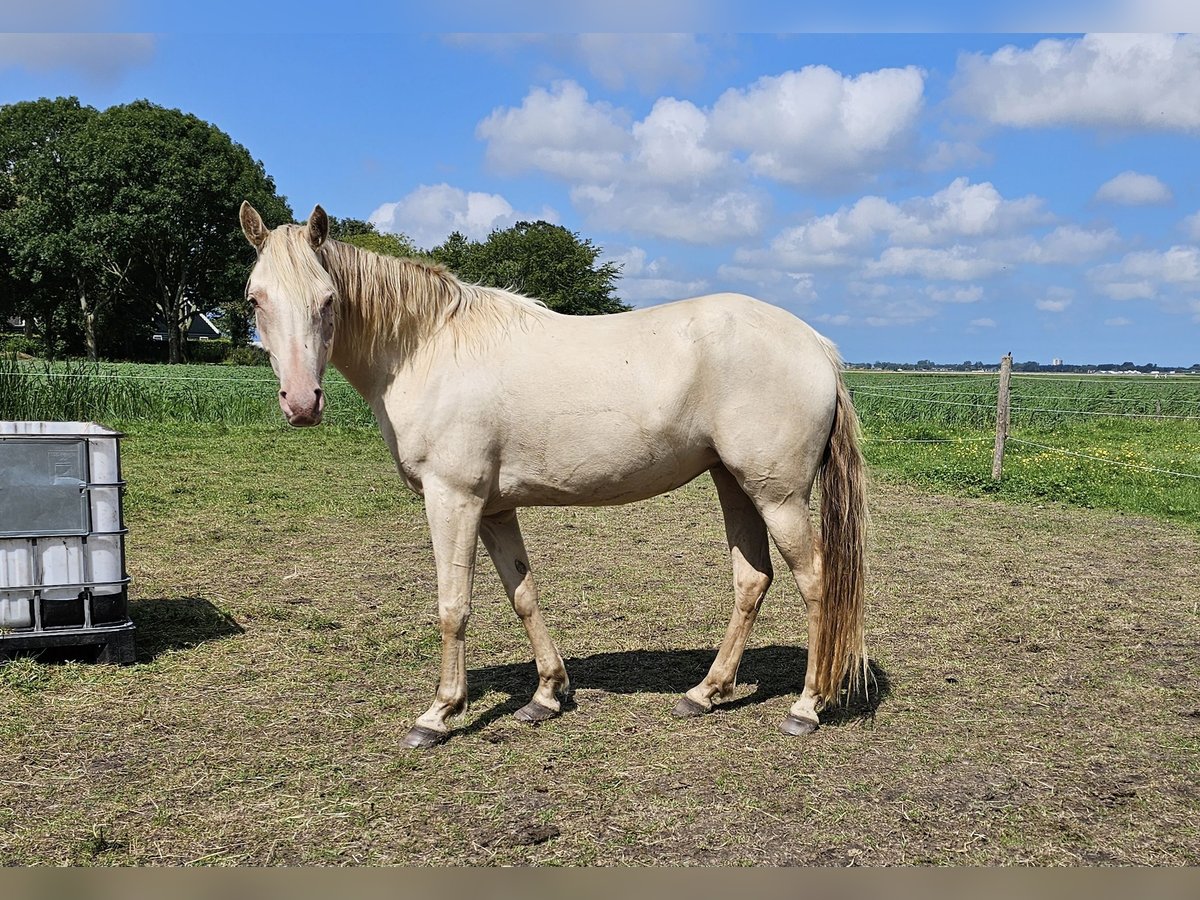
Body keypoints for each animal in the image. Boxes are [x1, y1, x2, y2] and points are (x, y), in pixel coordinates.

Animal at [238, 202, 868, 748]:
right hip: (734, 484)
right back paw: (705, 692)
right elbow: (523, 594)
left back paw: (806, 706)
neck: (428, 348)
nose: (301, 403)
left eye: (327, 299)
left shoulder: (453, 499)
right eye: (254, 300)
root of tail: (816, 345)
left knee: (816, 582)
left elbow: (453, 605)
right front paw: (546, 694)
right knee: (752, 581)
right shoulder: (494, 508)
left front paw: (439, 714)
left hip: (779, 495)